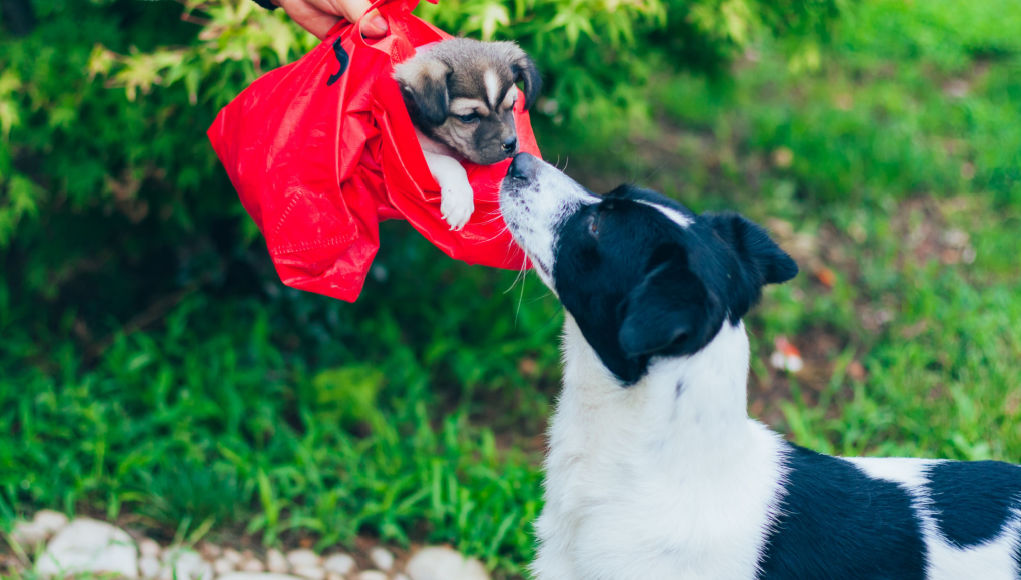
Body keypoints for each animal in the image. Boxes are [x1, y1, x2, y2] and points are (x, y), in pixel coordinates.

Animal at [392, 35, 543, 230]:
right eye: (468, 117)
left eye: (512, 105)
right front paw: (459, 200)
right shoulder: (411, 152)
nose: (511, 144)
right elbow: (448, 162)